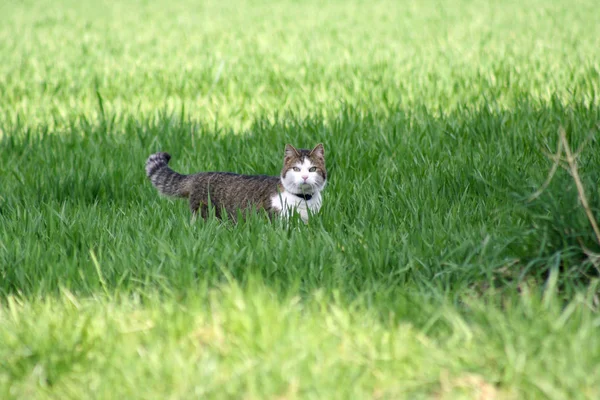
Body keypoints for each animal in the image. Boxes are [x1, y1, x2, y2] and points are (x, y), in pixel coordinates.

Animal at [146, 144, 328, 223]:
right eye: (296, 169)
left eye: (312, 169)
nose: (304, 177)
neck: (303, 200)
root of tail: (198, 175)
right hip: (205, 214)